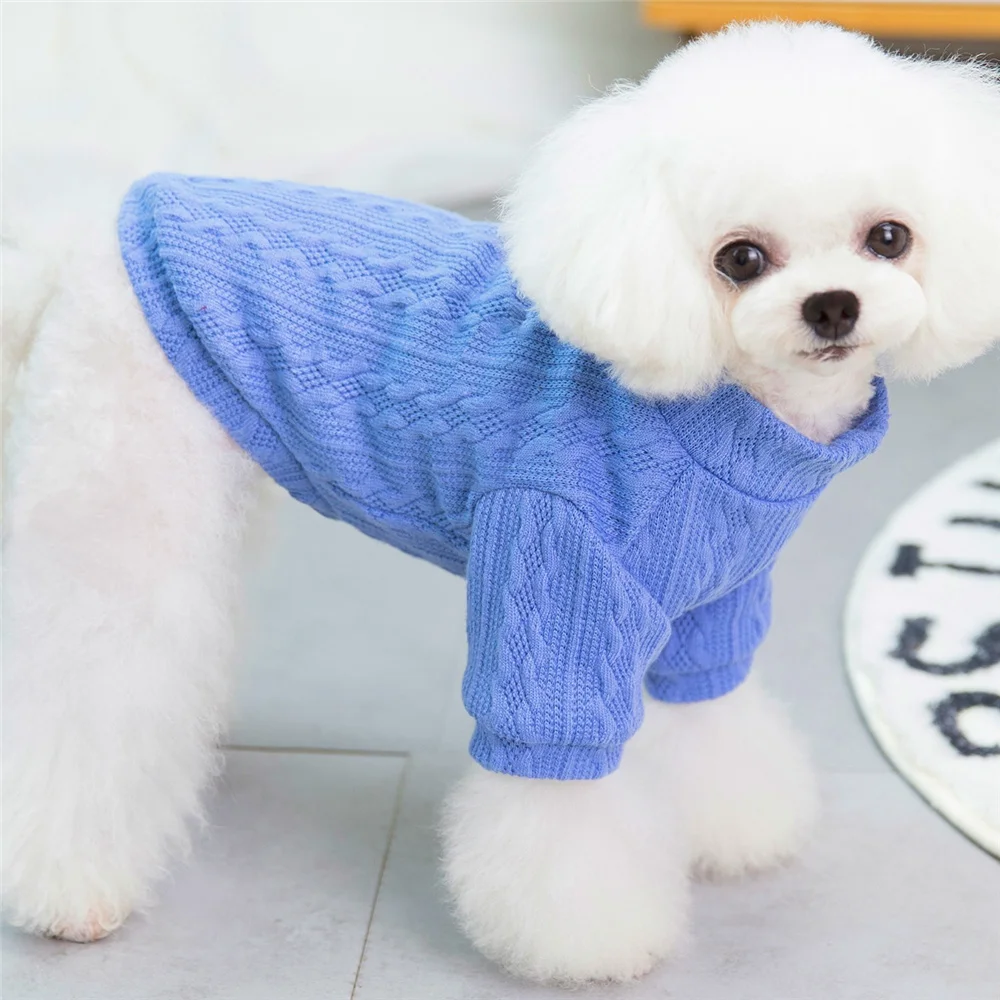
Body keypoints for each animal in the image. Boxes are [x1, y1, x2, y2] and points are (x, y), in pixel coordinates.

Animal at [3, 21, 999, 984]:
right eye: (741, 258)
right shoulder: (554, 578)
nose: (833, 305)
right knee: (89, 690)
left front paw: (732, 827)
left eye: (889, 238)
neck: (725, 413)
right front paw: (587, 939)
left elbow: (707, 718)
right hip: (121, 489)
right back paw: (72, 892)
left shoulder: (710, 605)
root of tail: (101, 223)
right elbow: (558, 797)